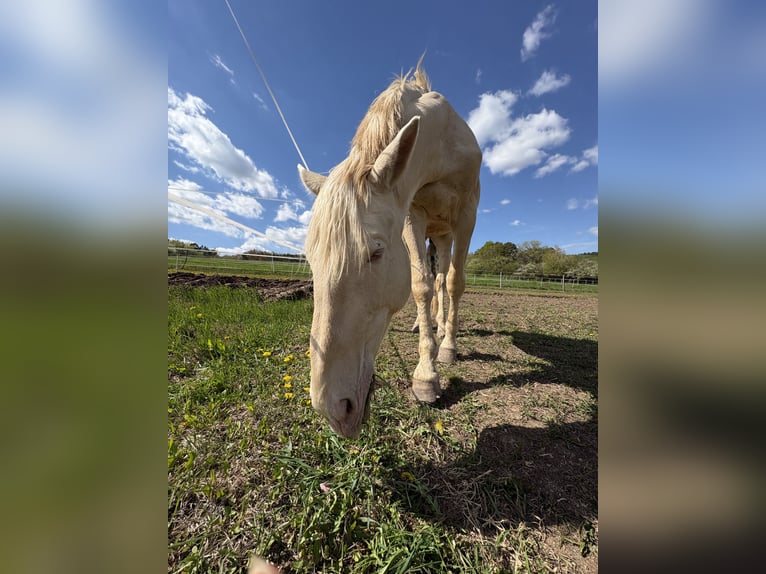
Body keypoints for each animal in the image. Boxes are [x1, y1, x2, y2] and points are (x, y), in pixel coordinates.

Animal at [299, 62, 481, 438]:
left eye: (376, 253)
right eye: (311, 261)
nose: (333, 409)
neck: (440, 143)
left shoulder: (467, 215)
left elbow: (454, 283)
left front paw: (445, 353)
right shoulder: (413, 214)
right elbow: (421, 286)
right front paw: (427, 374)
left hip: (447, 235)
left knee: (446, 280)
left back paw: (444, 333)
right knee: (434, 282)